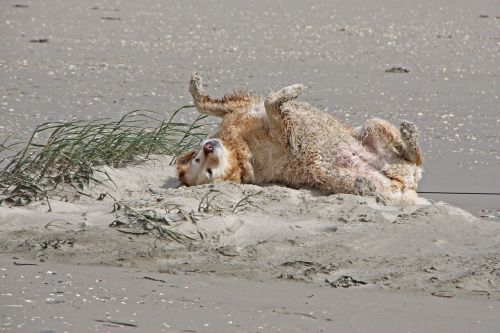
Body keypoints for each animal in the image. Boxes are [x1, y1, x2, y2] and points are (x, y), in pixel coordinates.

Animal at [177, 72, 426, 205]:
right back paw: (365, 183)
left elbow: (205, 104)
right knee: (384, 187)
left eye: (197, 159)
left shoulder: (239, 108)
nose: (208, 147)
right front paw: (292, 91)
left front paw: (195, 84)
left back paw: (409, 134)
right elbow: (270, 102)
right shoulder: (282, 136)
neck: (237, 146)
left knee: (414, 156)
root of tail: (408, 184)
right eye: (208, 171)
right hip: (341, 177)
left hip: (373, 125)